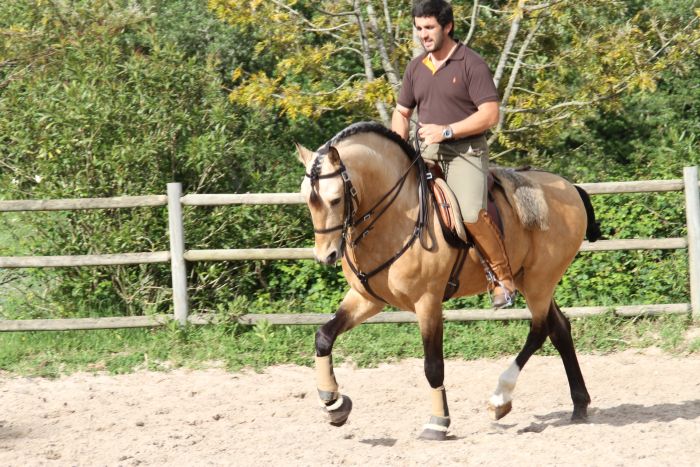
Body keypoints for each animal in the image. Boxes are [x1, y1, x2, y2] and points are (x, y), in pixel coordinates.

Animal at [296, 121, 600, 442]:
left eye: (335, 199)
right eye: (307, 200)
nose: (326, 255)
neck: (398, 215)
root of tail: (570, 187)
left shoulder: (427, 302)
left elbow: (433, 366)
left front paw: (438, 422)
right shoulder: (367, 299)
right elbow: (324, 336)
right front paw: (333, 403)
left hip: (540, 282)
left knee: (540, 330)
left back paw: (500, 399)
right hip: (531, 280)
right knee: (560, 329)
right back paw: (579, 405)